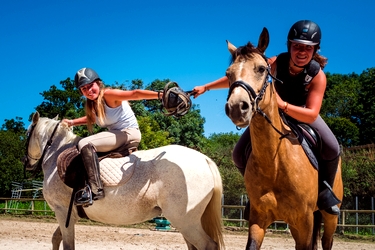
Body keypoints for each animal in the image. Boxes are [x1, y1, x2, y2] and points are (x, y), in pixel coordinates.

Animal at [25, 112, 225, 250]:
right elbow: (56, 238)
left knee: (208, 245)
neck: (56, 153)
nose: (27, 164)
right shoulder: (70, 215)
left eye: (27, 134)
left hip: (186, 221)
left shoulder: (61, 211)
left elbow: (66, 244)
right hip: (185, 223)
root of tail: (203, 159)